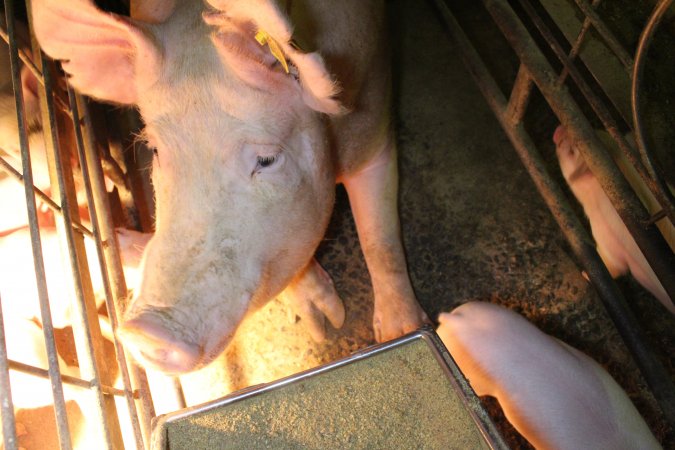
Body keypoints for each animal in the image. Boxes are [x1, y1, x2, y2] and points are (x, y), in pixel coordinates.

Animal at [30, 0, 428, 372]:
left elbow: (380, 241)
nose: (148, 330)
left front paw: (401, 331)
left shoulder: (374, 123)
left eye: (266, 159)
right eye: (156, 150)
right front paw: (322, 325)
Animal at [556, 125, 675, 314]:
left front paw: (584, 274)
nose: (558, 129)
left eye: (572, 151)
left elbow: (611, 268)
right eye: (595, 128)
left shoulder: (606, 239)